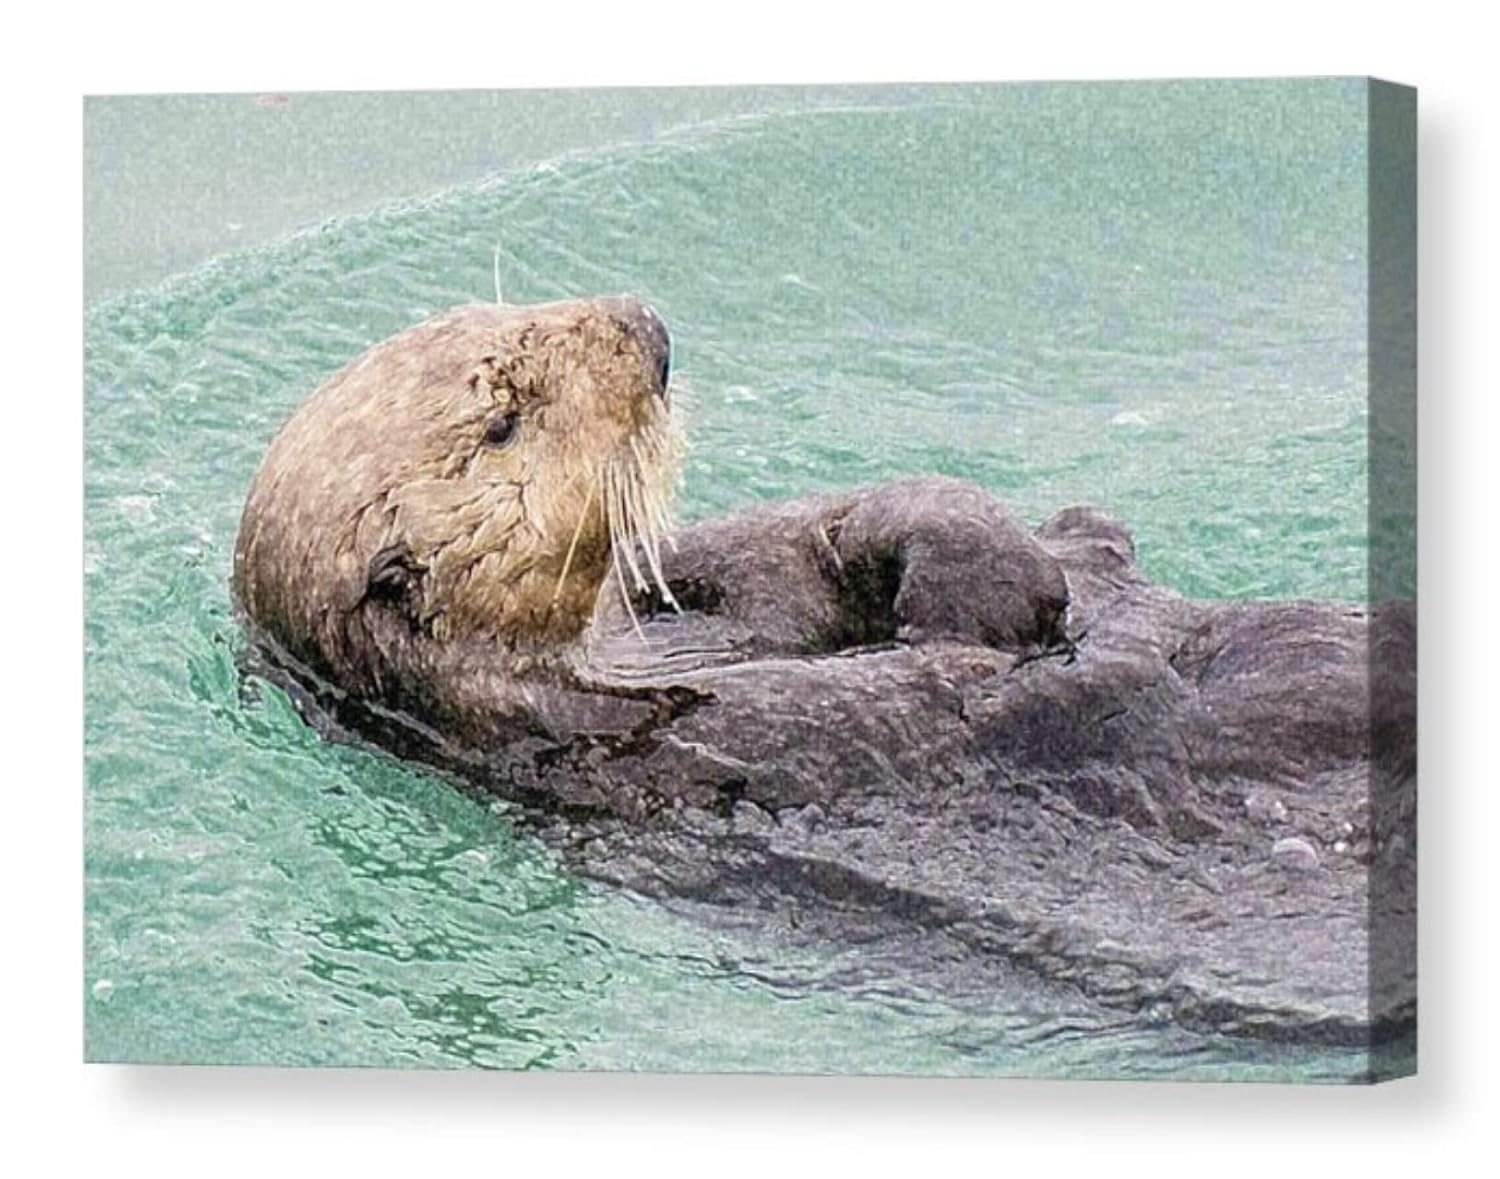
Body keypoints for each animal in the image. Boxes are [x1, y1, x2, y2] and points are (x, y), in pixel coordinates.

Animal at [233, 296, 1415, 1052]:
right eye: (502, 419)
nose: (644, 328)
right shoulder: (628, 729)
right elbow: (929, 686)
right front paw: (1013, 598)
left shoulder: (689, 586)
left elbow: (807, 541)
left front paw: (976, 542)